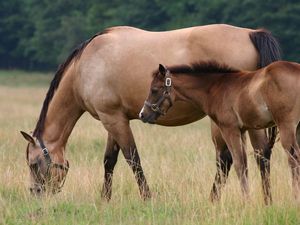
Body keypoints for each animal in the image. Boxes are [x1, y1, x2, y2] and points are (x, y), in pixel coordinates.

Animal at [19, 24, 280, 204]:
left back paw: (214, 199)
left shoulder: (112, 119)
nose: (35, 194)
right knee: (261, 155)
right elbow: (109, 160)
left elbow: (132, 159)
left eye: (33, 164)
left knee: (227, 160)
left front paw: (147, 197)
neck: (86, 66)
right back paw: (266, 200)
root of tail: (251, 33)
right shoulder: (115, 118)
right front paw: (105, 199)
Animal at [140, 60, 300, 201]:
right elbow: (245, 164)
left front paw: (246, 201)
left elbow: (239, 164)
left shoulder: (229, 129)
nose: (142, 114)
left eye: (154, 90)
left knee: (293, 159)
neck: (217, 88)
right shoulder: (242, 130)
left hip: (286, 126)